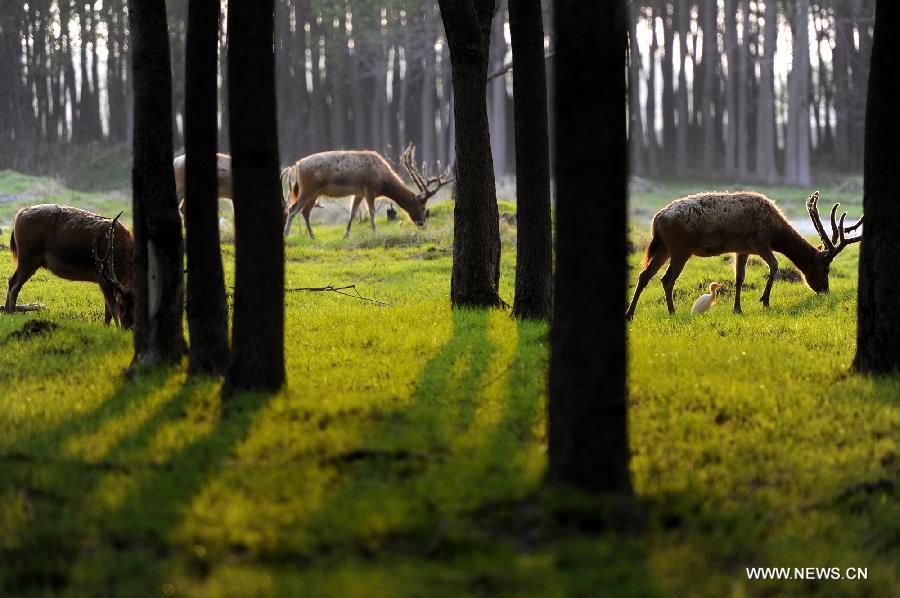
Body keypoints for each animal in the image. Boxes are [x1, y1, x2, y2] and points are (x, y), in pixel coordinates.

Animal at [4, 206, 134, 328]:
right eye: (122, 305)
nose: (127, 327)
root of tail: (19, 214)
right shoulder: (102, 276)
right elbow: (112, 307)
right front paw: (116, 329)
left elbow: (107, 309)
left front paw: (106, 327)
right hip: (27, 258)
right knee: (14, 284)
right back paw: (11, 313)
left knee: (11, 280)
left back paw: (6, 312)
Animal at [284, 144, 454, 239]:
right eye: (423, 206)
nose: (422, 223)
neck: (383, 182)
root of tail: (295, 167)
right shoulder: (369, 189)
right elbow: (371, 211)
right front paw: (374, 231)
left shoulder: (359, 192)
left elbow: (353, 213)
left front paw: (346, 234)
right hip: (308, 189)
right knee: (292, 209)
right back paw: (287, 234)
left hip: (314, 193)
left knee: (305, 211)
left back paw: (312, 235)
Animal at [624, 193, 864, 322]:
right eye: (826, 268)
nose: (825, 290)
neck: (775, 232)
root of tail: (656, 219)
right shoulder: (758, 240)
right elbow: (774, 265)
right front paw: (764, 300)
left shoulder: (742, 249)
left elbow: (739, 278)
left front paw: (737, 308)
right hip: (680, 248)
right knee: (666, 279)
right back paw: (672, 312)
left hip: (663, 247)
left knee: (644, 275)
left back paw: (630, 314)